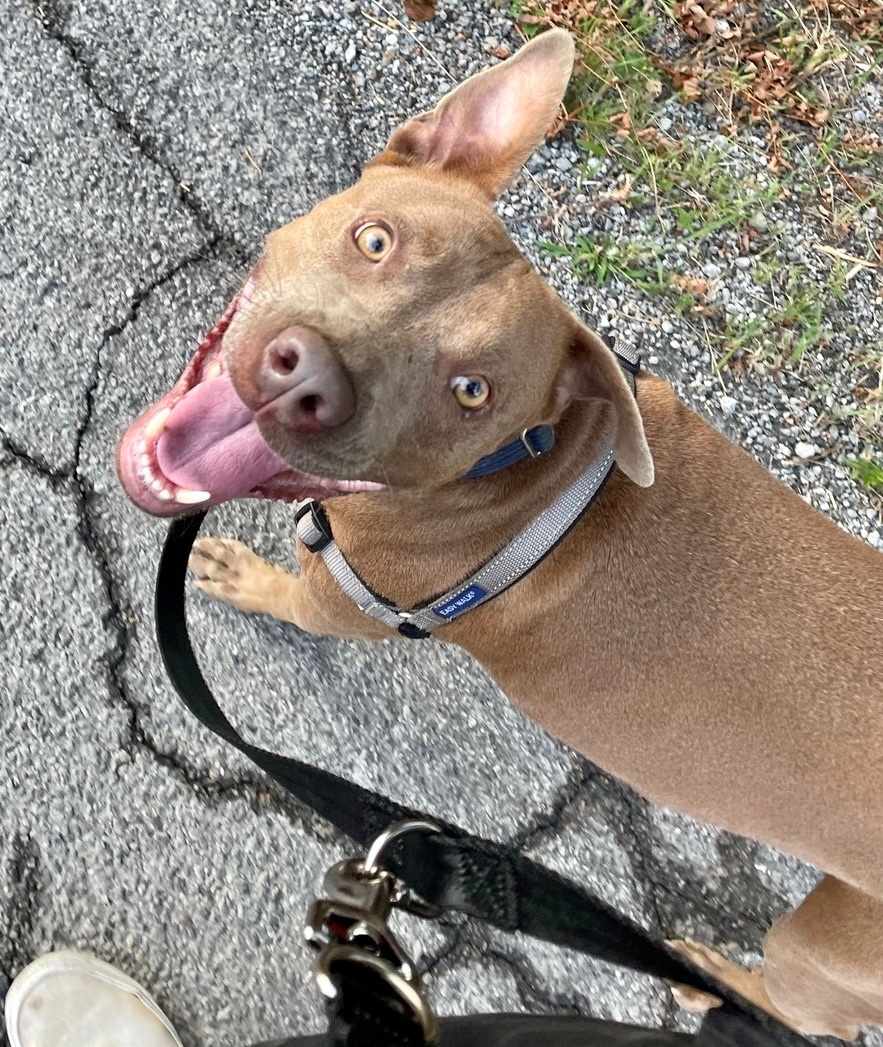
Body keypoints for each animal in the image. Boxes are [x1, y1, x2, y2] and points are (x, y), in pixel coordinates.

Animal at [118, 28, 883, 1042]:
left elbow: (290, 595)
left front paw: (239, 572)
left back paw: (705, 974)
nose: (306, 377)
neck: (532, 467)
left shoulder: (355, 603)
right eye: (375, 240)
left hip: (826, 948)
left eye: (471, 390)